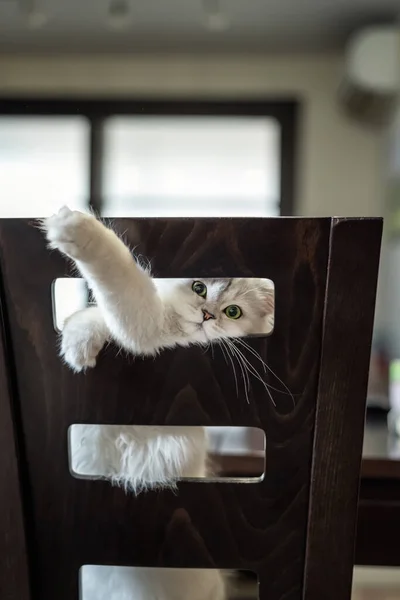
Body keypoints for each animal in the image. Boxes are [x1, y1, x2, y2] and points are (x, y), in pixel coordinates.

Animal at [43, 207, 276, 600]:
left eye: (232, 312)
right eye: (199, 288)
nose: (207, 315)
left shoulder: (148, 330)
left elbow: (118, 273)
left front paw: (73, 225)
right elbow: (94, 316)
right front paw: (78, 349)